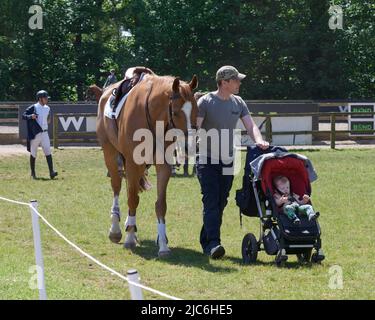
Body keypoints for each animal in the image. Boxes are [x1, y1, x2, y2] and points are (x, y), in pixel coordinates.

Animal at [96, 73, 200, 258]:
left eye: (196, 111)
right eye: (175, 112)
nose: (190, 146)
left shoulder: (163, 165)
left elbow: (160, 204)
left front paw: (163, 244)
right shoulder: (132, 162)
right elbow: (132, 199)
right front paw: (129, 238)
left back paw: (130, 226)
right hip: (110, 153)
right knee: (117, 187)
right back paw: (116, 229)